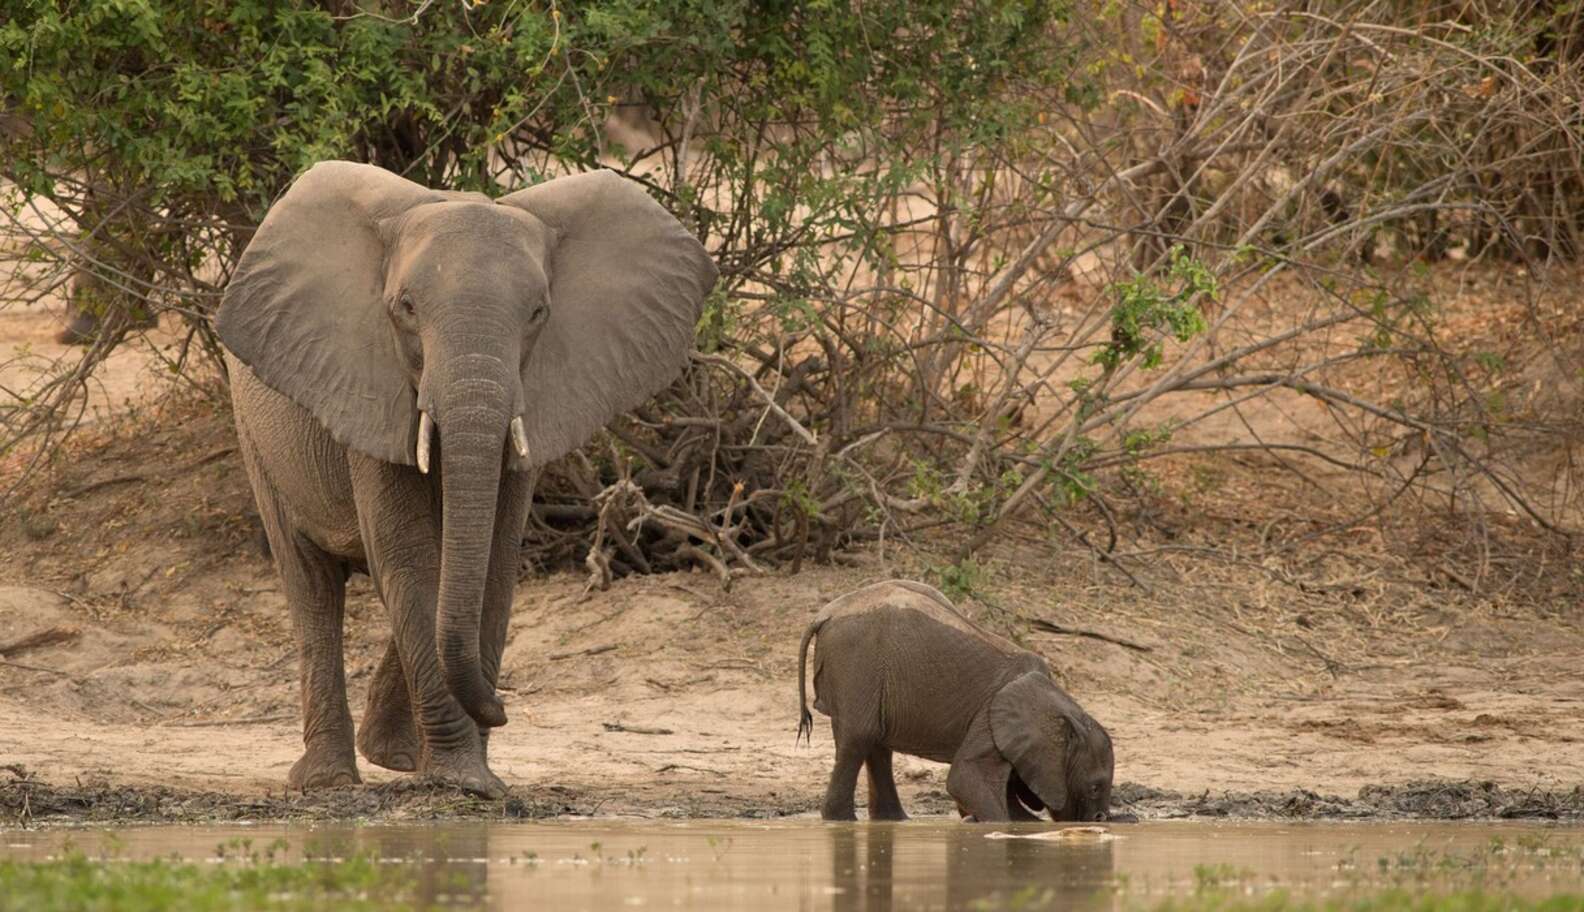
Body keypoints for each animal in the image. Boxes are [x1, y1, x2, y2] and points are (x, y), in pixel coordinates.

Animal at [218, 159, 719, 794]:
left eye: (538, 313)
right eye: (405, 307)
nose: (504, 708)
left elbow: (493, 562)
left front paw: (472, 778)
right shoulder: (373, 383)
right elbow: (409, 557)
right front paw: (464, 781)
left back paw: (392, 755)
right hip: (256, 434)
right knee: (311, 582)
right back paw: (327, 781)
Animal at [792, 579, 1115, 823]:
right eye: (1095, 787)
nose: (1100, 820)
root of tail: (825, 613)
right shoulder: (990, 715)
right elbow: (965, 777)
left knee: (876, 744)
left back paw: (894, 820)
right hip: (857, 664)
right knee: (859, 739)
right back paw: (840, 820)